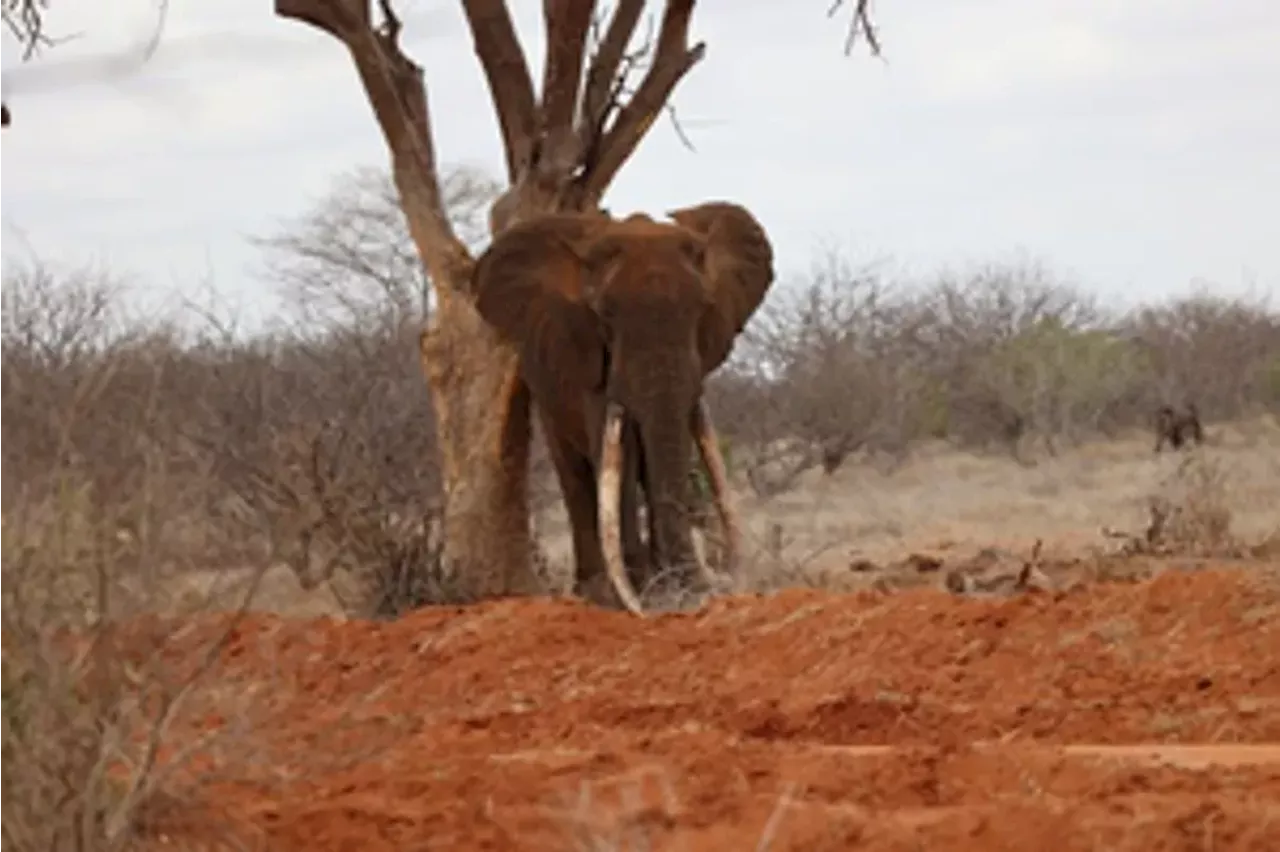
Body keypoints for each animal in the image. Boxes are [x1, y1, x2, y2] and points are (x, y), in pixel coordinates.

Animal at [468, 199, 768, 611]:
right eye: (605, 315)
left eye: (703, 309)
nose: (703, 587)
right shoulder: (586, 355)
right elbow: (615, 453)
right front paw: (644, 591)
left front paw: (674, 589)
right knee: (574, 472)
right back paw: (595, 593)